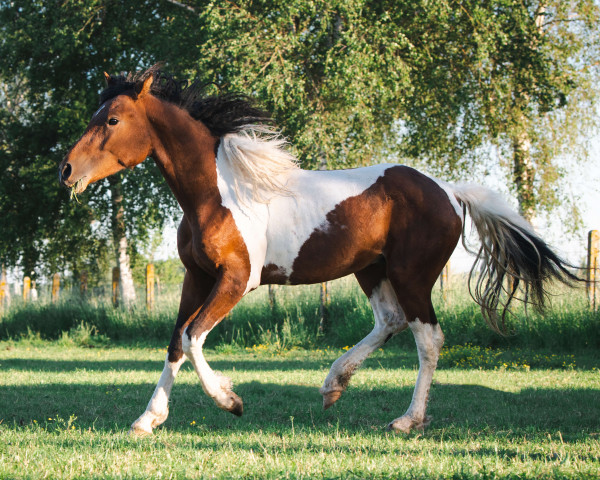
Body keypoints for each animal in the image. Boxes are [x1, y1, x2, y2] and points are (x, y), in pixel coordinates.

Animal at [57, 67, 576, 436]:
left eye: (112, 119)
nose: (66, 171)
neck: (218, 192)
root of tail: (448, 192)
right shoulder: (196, 276)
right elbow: (175, 342)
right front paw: (147, 420)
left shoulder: (236, 279)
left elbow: (192, 336)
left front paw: (231, 401)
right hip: (372, 271)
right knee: (389, 321)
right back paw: (333, 386)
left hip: (411, 275)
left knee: (427, 338)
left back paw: (406, 420)